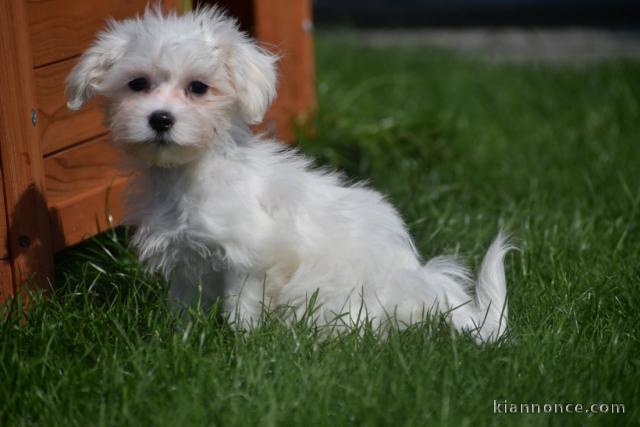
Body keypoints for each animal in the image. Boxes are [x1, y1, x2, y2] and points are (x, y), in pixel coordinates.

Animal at [67, 7, 512, 342]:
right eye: (137, 84)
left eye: (199, 88)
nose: (160, 119)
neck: (190, 173)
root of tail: (429, 292)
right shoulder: (184, 263)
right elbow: (183, 309)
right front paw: (180, 342)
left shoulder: (250, 257)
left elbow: (241, 310)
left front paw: (240, 347)